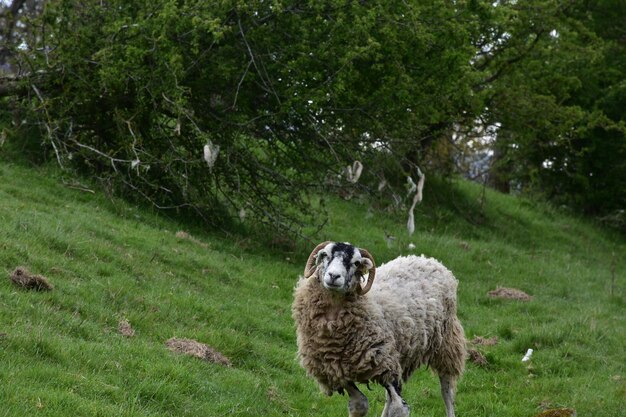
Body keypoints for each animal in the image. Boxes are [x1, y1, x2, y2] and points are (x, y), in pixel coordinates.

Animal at [292, 240, 464, 416]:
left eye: (356, 262)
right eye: (326, 255)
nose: (334, 276)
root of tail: (429, 260)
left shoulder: (384, 360)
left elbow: (400, 408)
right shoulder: (336, 368)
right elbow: (359, 404)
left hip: (446, 344)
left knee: (447, 390)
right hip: (400, 354)